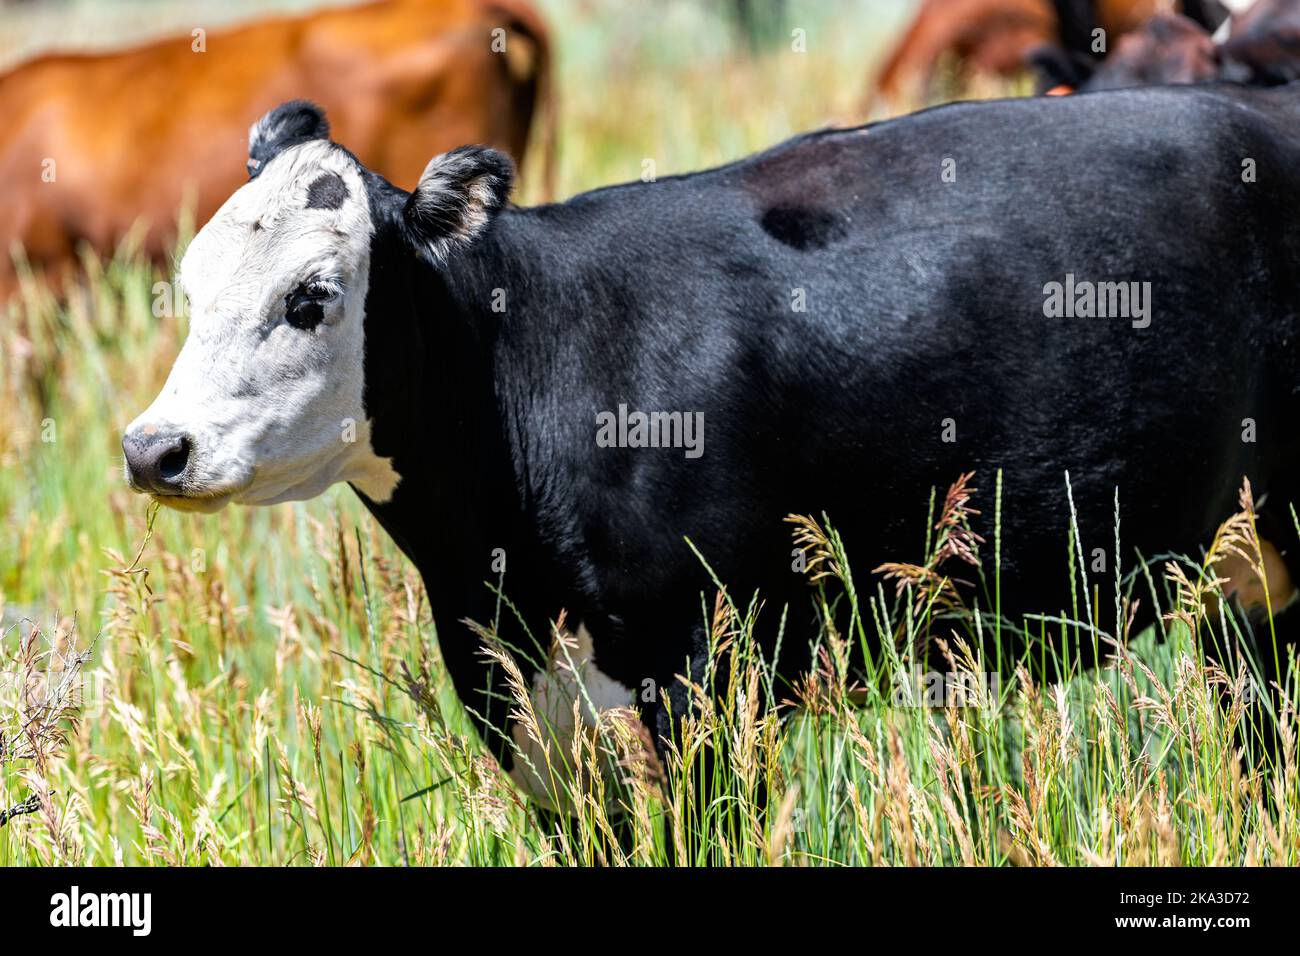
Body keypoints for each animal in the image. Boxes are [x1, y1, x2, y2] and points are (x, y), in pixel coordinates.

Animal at [123, 90, 1300, 804]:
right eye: (189, 283)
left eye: (311, 296)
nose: (153, 448)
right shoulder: (519, 710)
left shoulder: (708, 681)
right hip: (1241, 594)